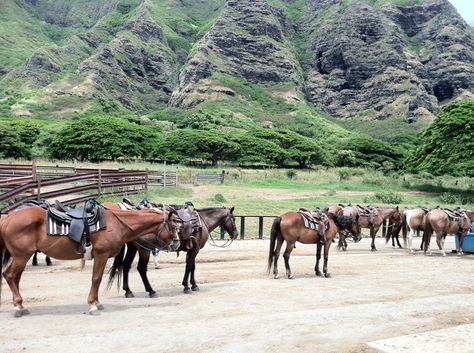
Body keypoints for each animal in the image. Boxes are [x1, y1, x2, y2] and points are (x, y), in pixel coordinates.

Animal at [0, 202, 178, 314]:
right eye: (173, 226)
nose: (176, 243)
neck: (116, 223)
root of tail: (7, 218)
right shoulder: (101, 255)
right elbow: (96, 278)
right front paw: (93, 305)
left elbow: (97, 280)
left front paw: (97, 302)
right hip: (21, 256)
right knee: (9, 275)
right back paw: (18, 307)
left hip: (21, 257)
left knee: (15, 278)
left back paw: (20, 305)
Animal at [107, 206, 237, 294]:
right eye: (234, 219)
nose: (236, 234)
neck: (203, 222)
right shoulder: (195, 249)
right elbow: (189, 266)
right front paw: (187, 286)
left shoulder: (192, 249)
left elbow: (192, 266)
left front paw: (193, 285)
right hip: (144, 250)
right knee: (141, 268)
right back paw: (151, 291)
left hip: (133, 248)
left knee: (126, 266)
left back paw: (128, 291)